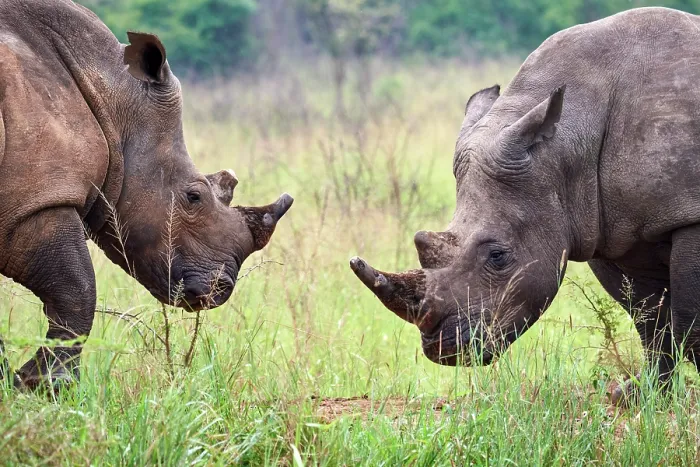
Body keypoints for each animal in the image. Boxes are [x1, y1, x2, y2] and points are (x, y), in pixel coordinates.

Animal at [0, 0, 292, 389]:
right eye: (194, 197)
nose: (221, 289)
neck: (110, 95)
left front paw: (18, 381)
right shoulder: (35, 202)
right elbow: (78, 289)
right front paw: (45, 384)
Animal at [350, 6, 700, 395]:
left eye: (498, 256)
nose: (442, 349)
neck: (566, 143)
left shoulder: (688, 216)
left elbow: (689, 319)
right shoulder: (607, 226)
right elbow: (648, 318)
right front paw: (639, 396)